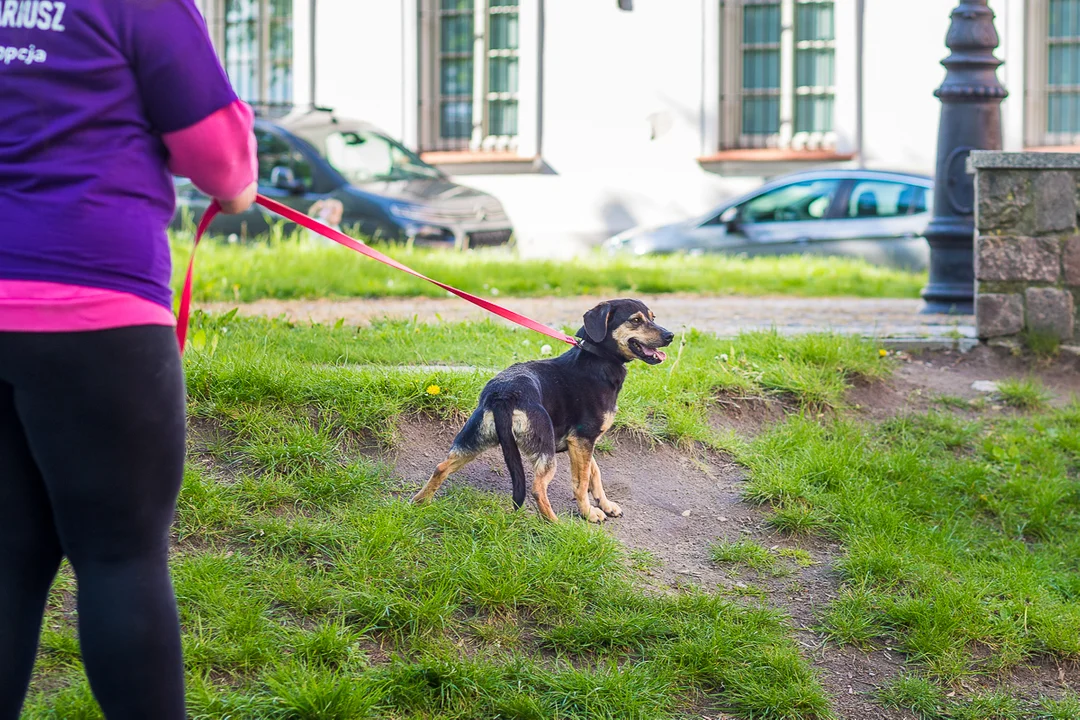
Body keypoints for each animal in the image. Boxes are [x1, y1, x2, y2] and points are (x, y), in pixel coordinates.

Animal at [412, 297, 673, 524]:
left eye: (652, 317)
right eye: (636, 320)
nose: (670, 336)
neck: (598, 358)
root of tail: (503, 395)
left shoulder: (581, 443)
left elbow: (594, 473)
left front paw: (605, 505)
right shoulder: (583, 438)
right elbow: (581, 482)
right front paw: (589, 513)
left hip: (473, 440)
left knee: (441, 467)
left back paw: (419, 502)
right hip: (544, 450)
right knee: (538, 488)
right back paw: (555, 525)